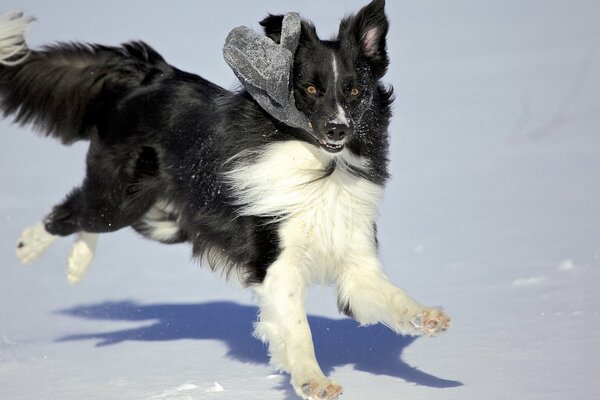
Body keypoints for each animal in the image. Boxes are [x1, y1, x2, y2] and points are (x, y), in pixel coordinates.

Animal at [0, 1, 450, 398]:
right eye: (308, 88)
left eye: (355, 90)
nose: (338, 129)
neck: (322, 169)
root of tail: (151, 74)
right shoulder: (277, 262)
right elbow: (298, 327)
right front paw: (313, 382)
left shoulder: (354, 261)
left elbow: (392, 298)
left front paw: (430, 320)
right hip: (121, 198)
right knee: (72, 212)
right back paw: (29, 247)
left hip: (164, 216)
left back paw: (76, 264)